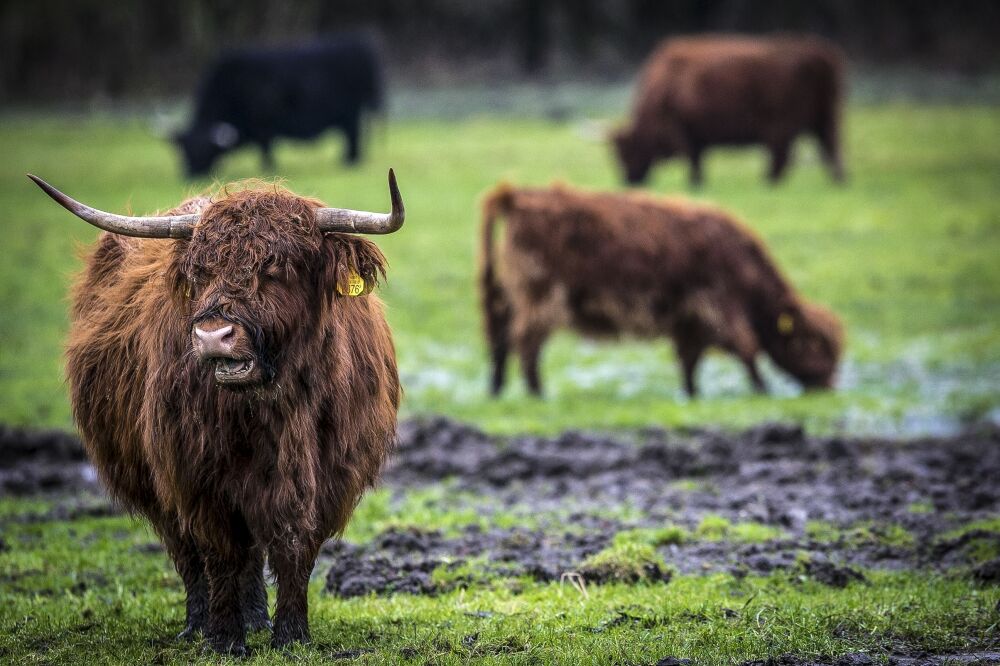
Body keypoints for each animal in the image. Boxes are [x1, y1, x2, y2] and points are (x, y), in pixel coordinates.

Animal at [28, 169, 402, 652]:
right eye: (201, 272)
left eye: (276, 268)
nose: (212, 335)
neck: (274, 411)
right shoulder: (194, 474)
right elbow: (220, 553)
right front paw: (224, 639)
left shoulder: (327, 478)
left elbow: (294, 548)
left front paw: (291, 635)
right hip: (154, 481)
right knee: (189, 553)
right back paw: (197, 624)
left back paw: (257, 619)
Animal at [174, 35, 380, 176]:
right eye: (184, 151)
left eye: (203, 150)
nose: (190, 174)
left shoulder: (263, 125)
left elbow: (265, 148)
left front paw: (267, 168)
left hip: (351, 113)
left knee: (353, 136)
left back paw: (349, 161)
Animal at [480, 183, 840, 394]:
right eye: (815, 345)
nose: (829, 385)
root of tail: (517, 196)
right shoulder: (720, 304)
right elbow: (746, 347)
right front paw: (762, 390)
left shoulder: (690, 318)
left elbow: (690, 359)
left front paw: (692, 394)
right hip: (541, 297)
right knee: (526, 342)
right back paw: (537, 393)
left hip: (507, 296)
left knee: (500, 339)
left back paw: (497, 391)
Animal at [616, 35, 844, 187]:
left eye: (627, 150)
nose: (629, 179)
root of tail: (816, 54)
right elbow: (697, 157)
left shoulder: (683, 131)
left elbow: (692, 158)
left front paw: (694, 182)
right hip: (824, 117)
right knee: (829, 145)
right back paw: (838, 179)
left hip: (783, 124)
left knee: (782, 153)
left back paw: (768, 180)